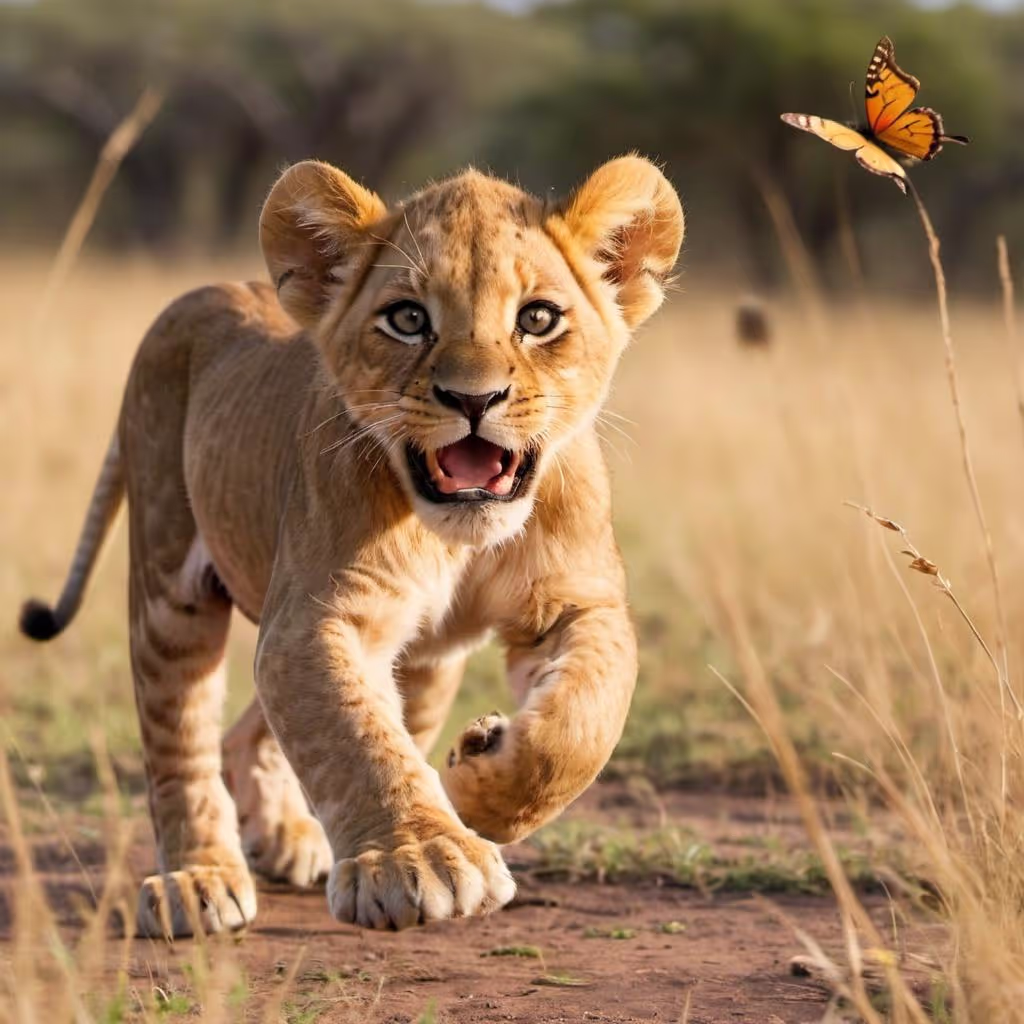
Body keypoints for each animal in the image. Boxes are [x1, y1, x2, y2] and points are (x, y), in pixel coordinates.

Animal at [19, 155, 684, 935]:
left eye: (538, 319)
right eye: (408, 318)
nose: (474, 400)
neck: (458, 538)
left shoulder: (579, 604)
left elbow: (581, 727)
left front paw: (477, 783)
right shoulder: (313, 618)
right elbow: (354, 736)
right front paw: (421, 859)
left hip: (424, 664)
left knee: (271, 729)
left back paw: (290, 836)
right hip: (167, 578)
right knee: (179, 738)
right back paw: (198, 881)